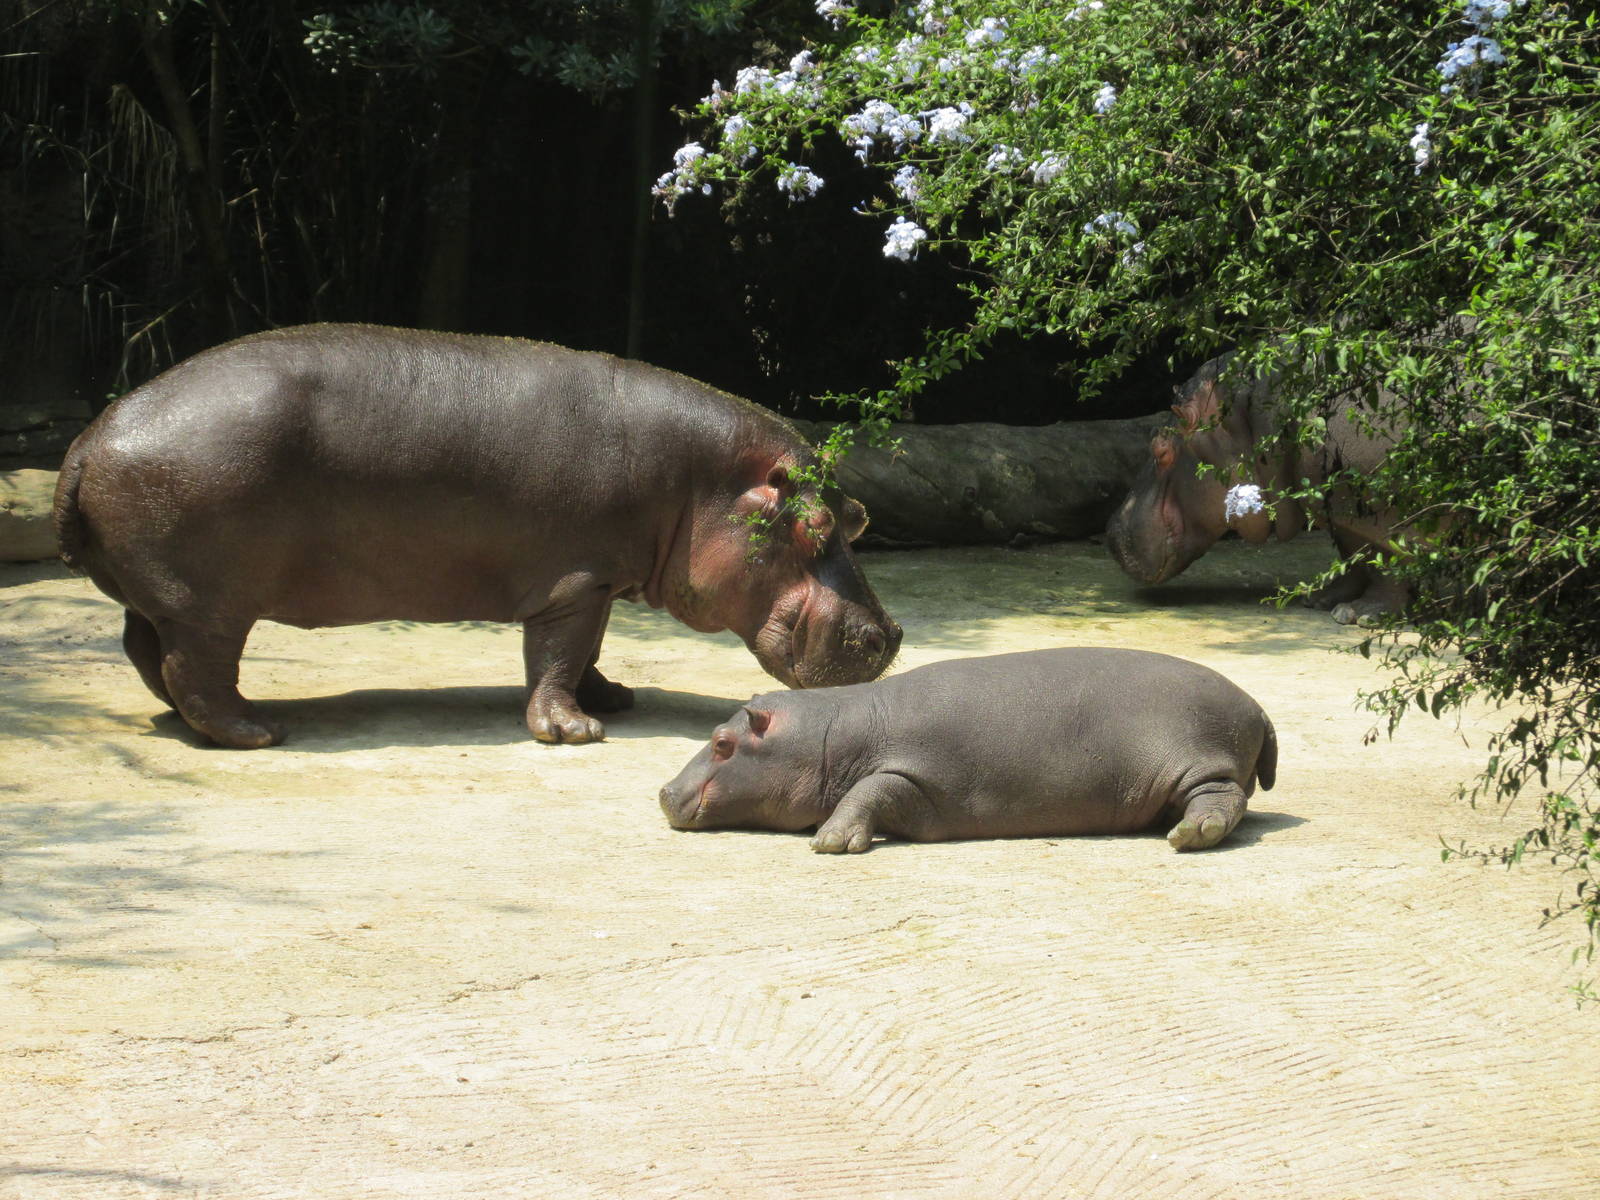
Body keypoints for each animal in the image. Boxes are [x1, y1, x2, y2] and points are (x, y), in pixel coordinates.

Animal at [53, 324, 900, 747]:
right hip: (210, 602)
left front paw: (614, 698)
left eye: (858, 516)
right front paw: (575, 731)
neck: (702, 484)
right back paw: (259, 729)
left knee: (146, 650)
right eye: (818, 524)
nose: (888, 636)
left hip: (167, 597)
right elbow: (556, 655)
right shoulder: (575, 580)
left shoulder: (600, 580)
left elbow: (587, 653)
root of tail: (89, 439)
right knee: (195, 669)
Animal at [660, 648, 1276, 853]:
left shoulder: (912, 774)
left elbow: (869, 790)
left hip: (1195, 761)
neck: (828, 735)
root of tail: (1257, 705)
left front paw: (830, 842)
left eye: (722, 744)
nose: (663, 791)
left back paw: (1189, 837)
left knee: (1223, 799)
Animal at [1105, 354, 1406, 624]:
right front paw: (1322, 601)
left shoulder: (1382, 508)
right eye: (1151, 433)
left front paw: (1364, 614)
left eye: (1161, 449)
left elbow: (1388, 557)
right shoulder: (1338, 506)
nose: (1110, 533)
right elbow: (1354, 551)